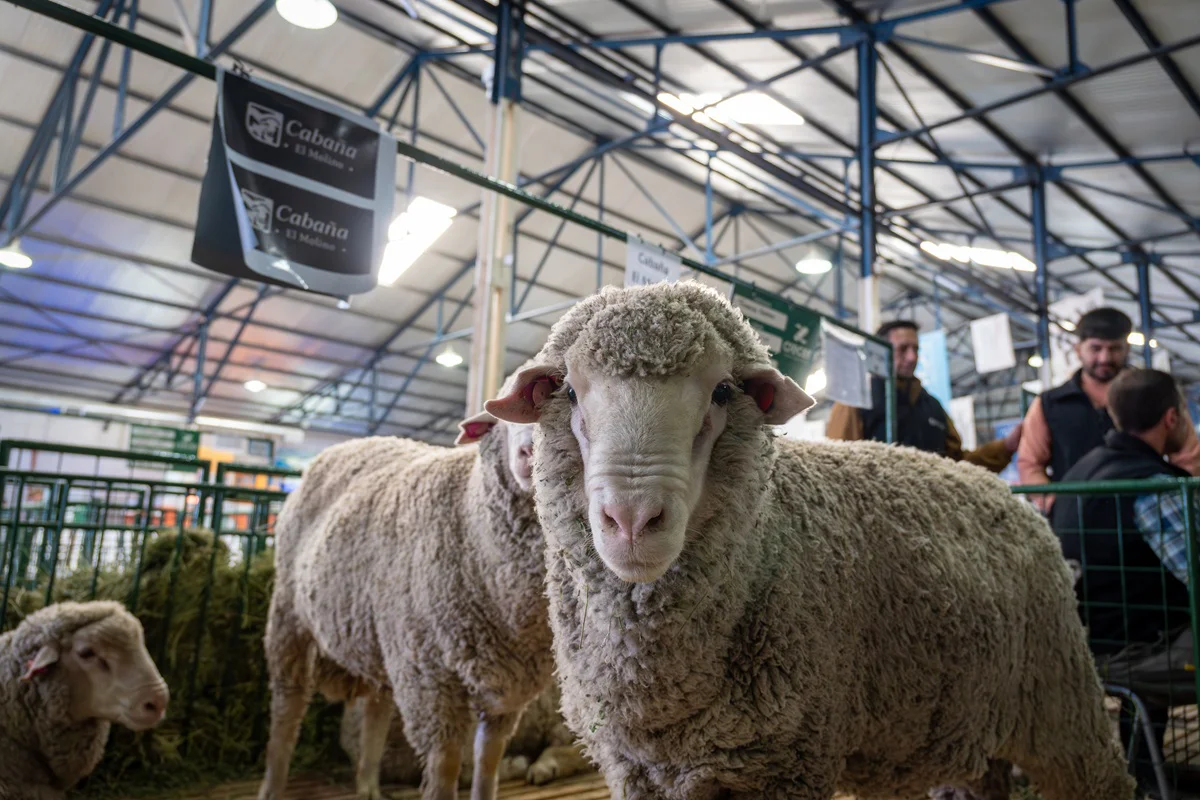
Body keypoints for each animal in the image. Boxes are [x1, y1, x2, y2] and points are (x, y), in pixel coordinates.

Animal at [257, 365, 556, 800]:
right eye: (495, 422)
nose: (528, 453)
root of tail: (355, 443)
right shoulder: (431, 679)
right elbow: (445, 765)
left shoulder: (510, 685)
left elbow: (488, 760)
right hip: (290, 616)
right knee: (287, 707)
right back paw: (273, 782)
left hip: (387, 637)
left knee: (378, 706)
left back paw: (367, 784)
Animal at [483, 281, 1136, 800]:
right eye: (569, 392)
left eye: (723, 392)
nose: (633, 518)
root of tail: (994, 487)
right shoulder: (639, 769)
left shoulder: (788, 762)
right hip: (969, 721)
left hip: (1064, 703)